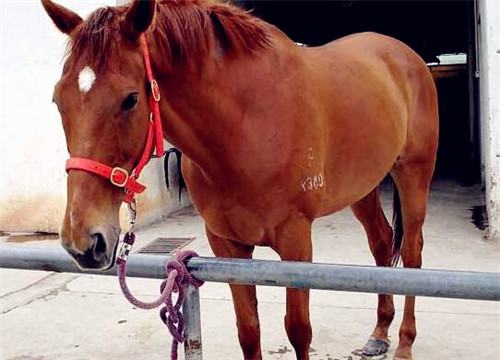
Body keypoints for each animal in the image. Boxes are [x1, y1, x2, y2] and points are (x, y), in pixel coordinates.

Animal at [42, 1, 438, 358]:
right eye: (58, 100)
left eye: (130, 99)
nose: (82, 242)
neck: (247, 127)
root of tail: (404, 55)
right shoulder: (227, 245)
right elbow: (248, 331)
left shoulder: (296, 241)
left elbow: (298, 331)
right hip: (363, 189)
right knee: (382, 243)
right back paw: (379, 334)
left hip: (413, 174)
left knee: (412, 253)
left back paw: (404, 343)